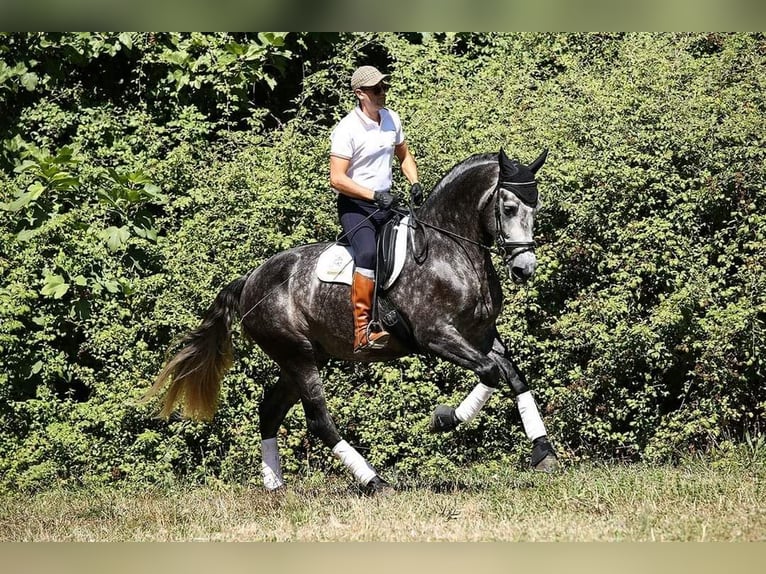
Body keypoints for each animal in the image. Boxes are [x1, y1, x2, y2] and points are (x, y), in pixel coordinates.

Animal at [144, 147, 560, 496]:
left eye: (536, 207)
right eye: (509, 207)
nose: (525, 268)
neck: (451, 250)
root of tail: (250, 280)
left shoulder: (482, 334)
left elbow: (512, 375)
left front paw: (543, 452)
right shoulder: (437, 335)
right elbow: (490, 372)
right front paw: (443, 419)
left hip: (302, 358)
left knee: (270, 410)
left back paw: (275, 486)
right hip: (297, 356)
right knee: (318, 421)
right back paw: (374, 481)